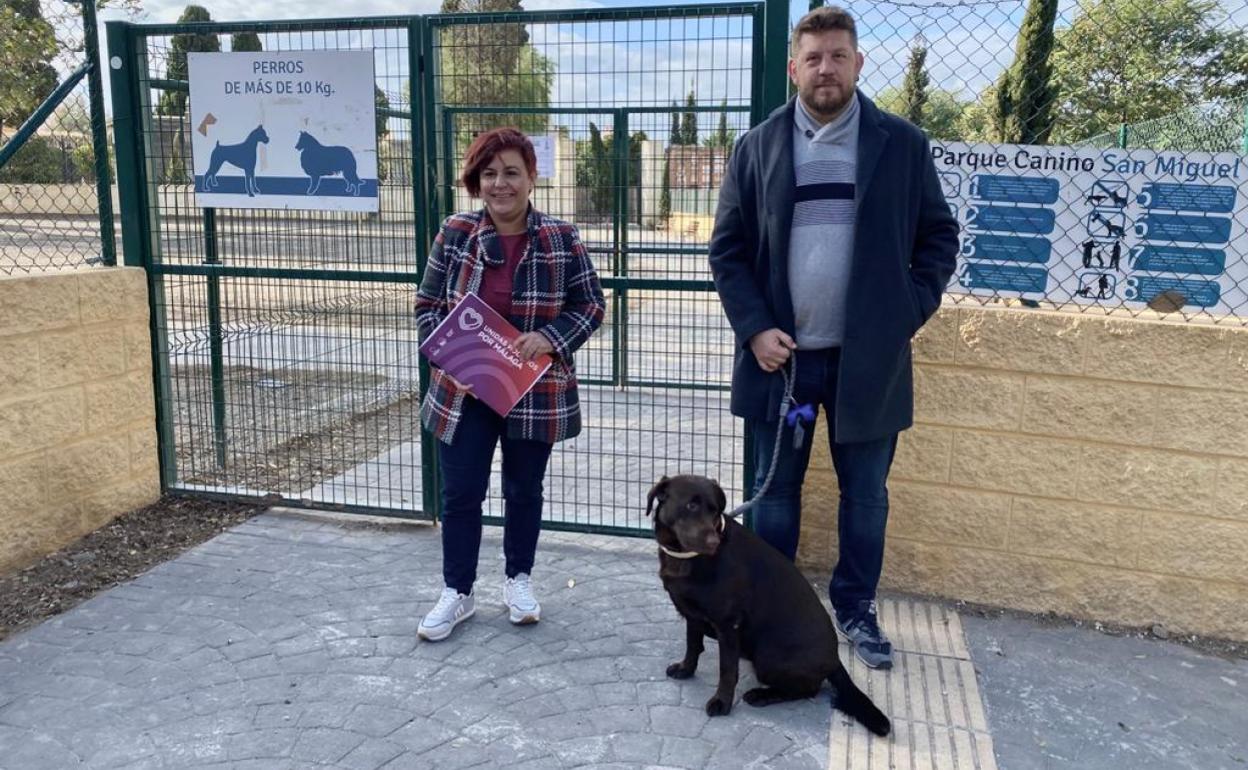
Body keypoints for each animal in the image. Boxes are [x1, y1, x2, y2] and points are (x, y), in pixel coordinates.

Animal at [648, 471, 893, 728]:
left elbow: (727, 669)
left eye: (715, 510)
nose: (714, 543)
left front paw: (722, 702)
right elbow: (693, 645)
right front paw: (686, 669)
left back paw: (761, 695)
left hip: (767, 656)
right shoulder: (692, 615)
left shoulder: (728, 625)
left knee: (809, 690)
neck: (686, 557)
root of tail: (835, 659)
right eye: (691, 505)